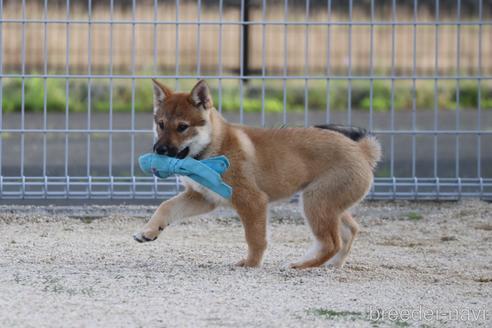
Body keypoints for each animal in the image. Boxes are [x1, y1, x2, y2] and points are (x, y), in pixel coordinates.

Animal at [133, 79, 382, 270]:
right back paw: (332, 264)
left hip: (316, 202)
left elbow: (255, 238)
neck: (214, 146)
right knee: (349, 231)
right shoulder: (202, 197)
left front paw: (251, 263)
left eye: (183, 127)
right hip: (328, 204)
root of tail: (362, 150)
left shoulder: (252, 201)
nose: (159, 150)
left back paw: (301, 265)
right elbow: (166, 207)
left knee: (331, 242)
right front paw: (149, 231)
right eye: (161, 124)